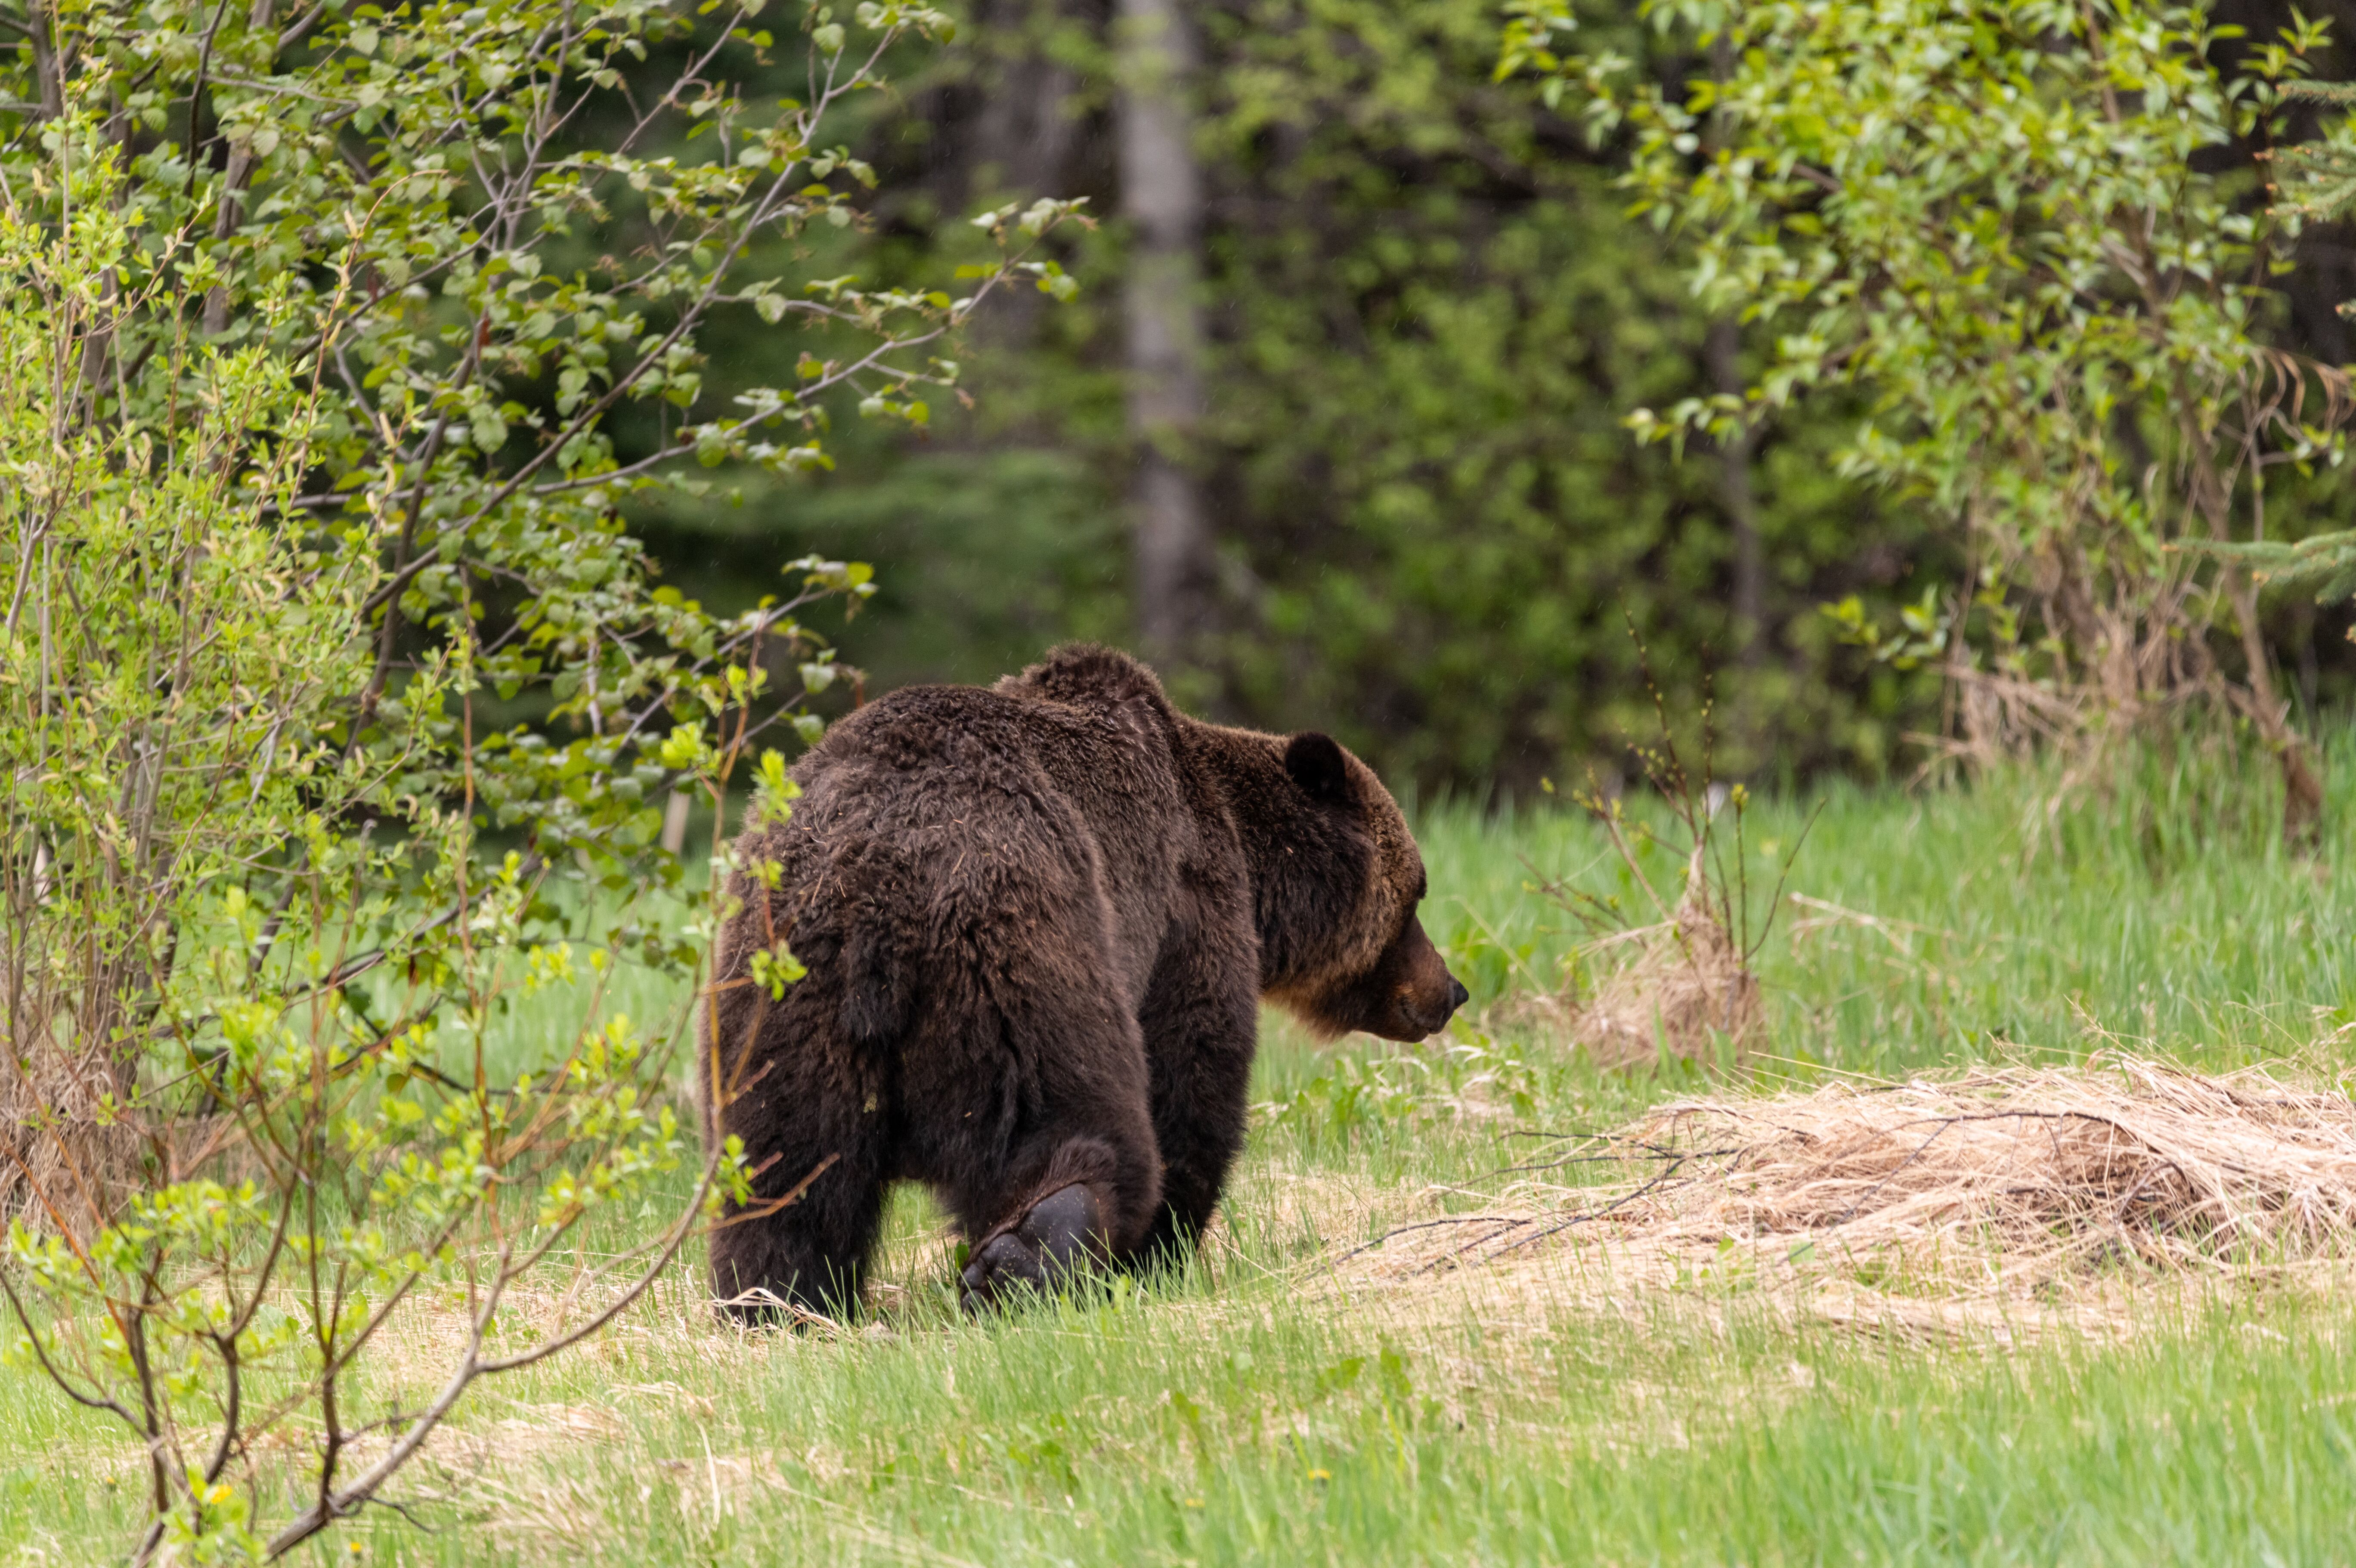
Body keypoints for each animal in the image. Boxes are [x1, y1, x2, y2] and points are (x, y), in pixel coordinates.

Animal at [698, 643, 1466, 1317]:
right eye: (1417, 893)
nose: (1451, 990)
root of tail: (873, 878)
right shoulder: (1186, 910)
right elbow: (1191, 1080)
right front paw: (1161, 1250)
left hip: (778, 997)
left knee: (786, 1174)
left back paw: (780, 1303)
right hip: (1018, 939)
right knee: (1058, 1101)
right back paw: (1028, 1254)